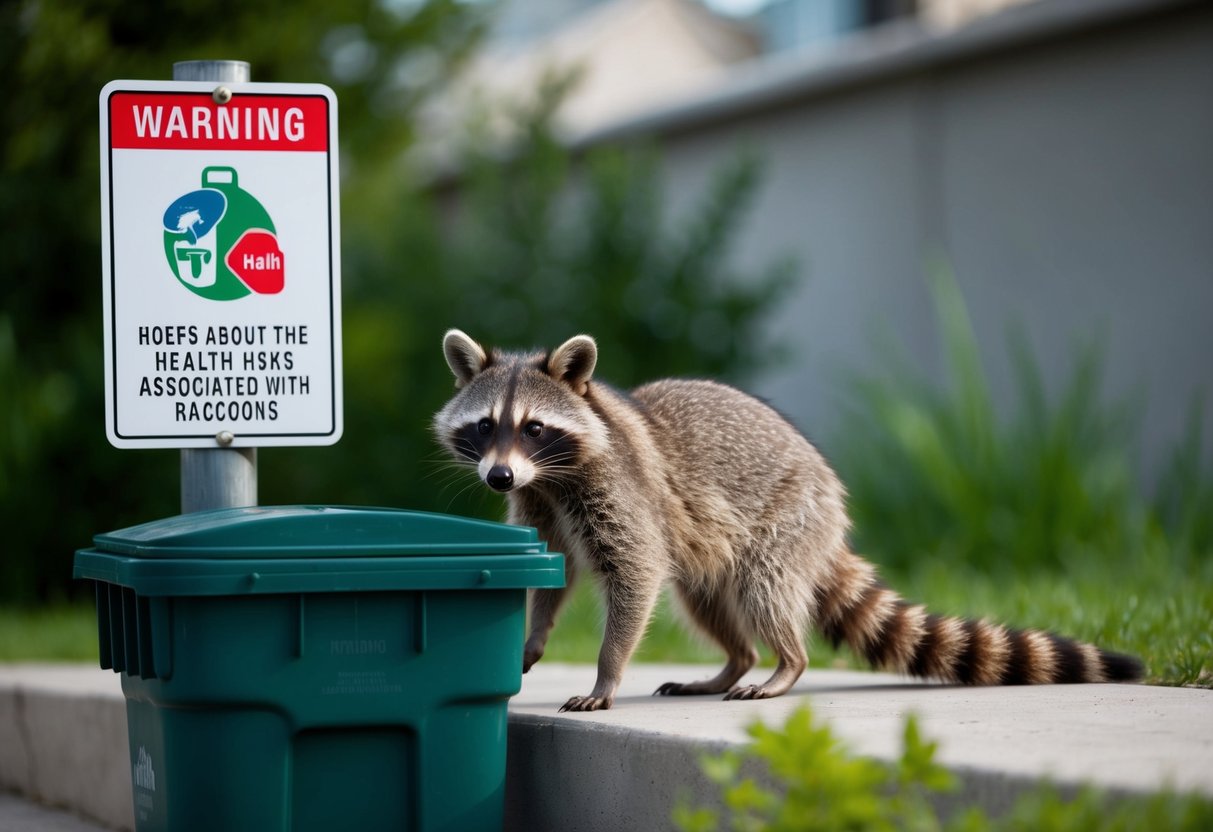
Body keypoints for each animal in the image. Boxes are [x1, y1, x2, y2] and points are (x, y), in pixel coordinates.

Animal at [433, 330, 1144, 712]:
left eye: (533, 427)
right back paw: (735, 662)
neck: (549, 475)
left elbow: (634, 575)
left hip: (788, 520)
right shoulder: (540, 502)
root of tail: (831, 498)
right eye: (485, 426)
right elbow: (553, 571)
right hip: (716, 547)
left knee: (764, 590)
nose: (498, 477)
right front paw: (535, 634)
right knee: (708, 602)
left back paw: (785, 663)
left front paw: (607, 673)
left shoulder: (617, 491)